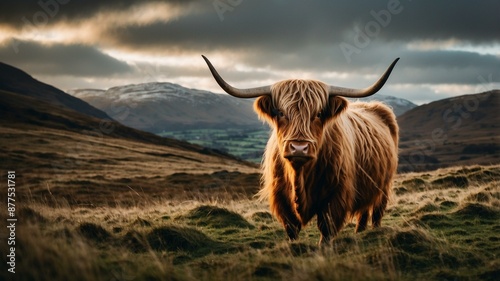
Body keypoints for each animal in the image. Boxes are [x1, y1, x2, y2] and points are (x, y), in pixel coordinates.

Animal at [202, 55, 398, 243]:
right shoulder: (281, 198)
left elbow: (326, 230)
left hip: (384, 185)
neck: (300, 175)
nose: (299, 148)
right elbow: (292, 229)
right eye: (281, 113)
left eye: (318, 114)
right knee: (364, 212)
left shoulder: (335, 196)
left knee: (376, 211)